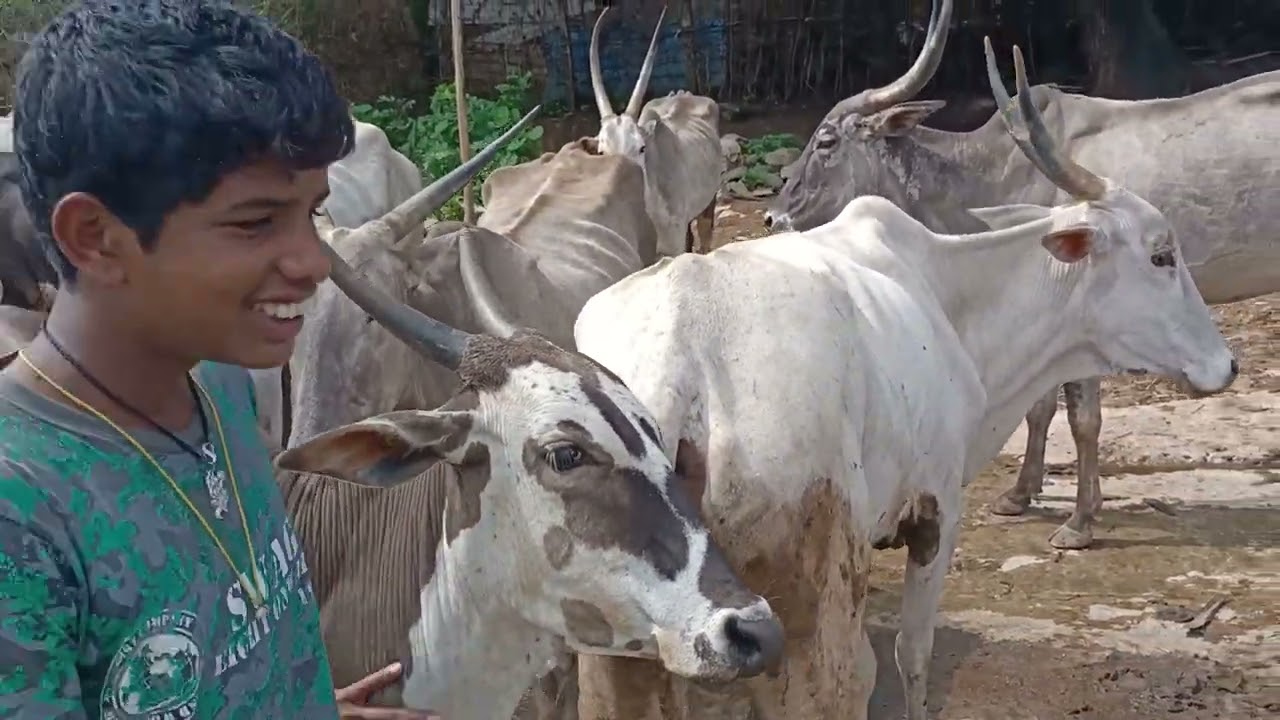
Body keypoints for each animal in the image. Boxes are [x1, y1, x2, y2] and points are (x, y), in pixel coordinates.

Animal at [568, 40, 1236, 720]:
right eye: (1161, 254)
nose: (1226, 365)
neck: (947, 291)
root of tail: (676, 362)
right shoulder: (936, 511)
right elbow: (913, 654)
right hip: (814, 603)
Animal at [764, 0, 1280, 548]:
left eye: (826, 141)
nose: (773, 217)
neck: (995, 168)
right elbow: (1041, 407)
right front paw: (1020, 493)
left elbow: (1083, 418)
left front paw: (1080, 520)